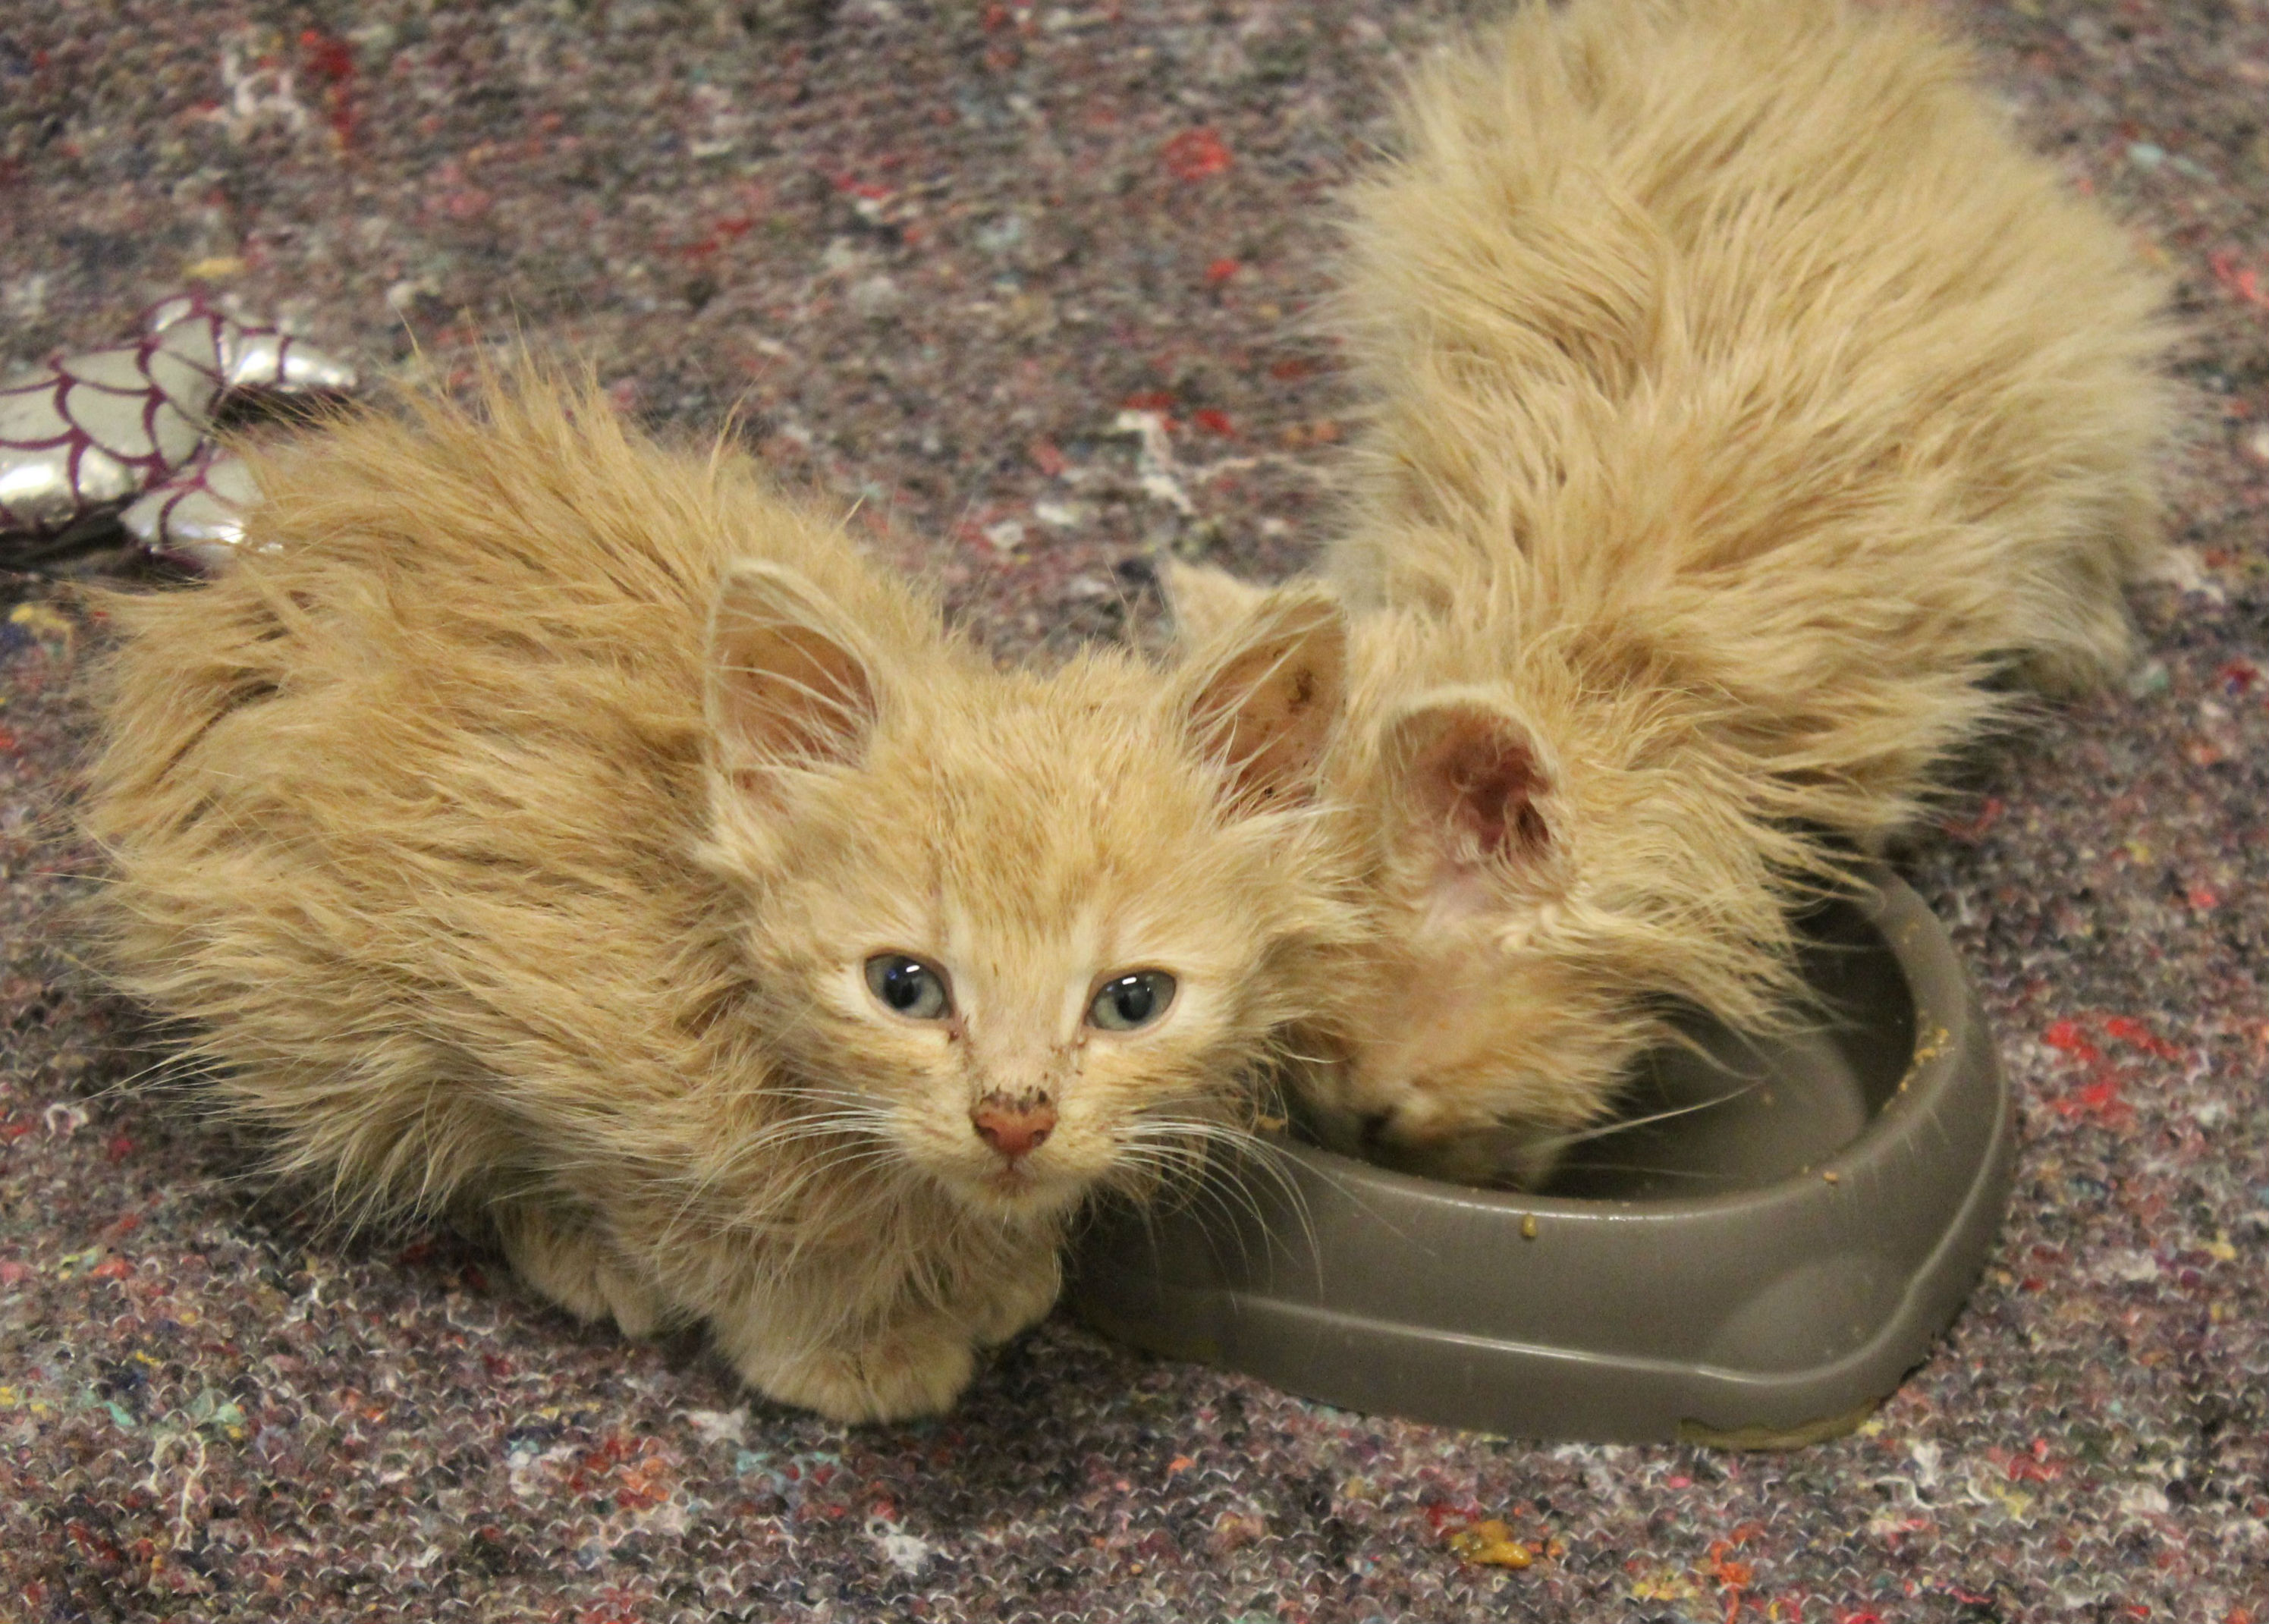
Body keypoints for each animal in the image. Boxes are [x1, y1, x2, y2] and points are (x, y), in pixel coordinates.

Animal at [83, 374, 1361, 1415]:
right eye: (904, 986)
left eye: (1131, 1001)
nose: (1012, 1119)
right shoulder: (515, 992)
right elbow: (690, 1216)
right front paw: (838, 1338)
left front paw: (990, 1265)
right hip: (289, 989)